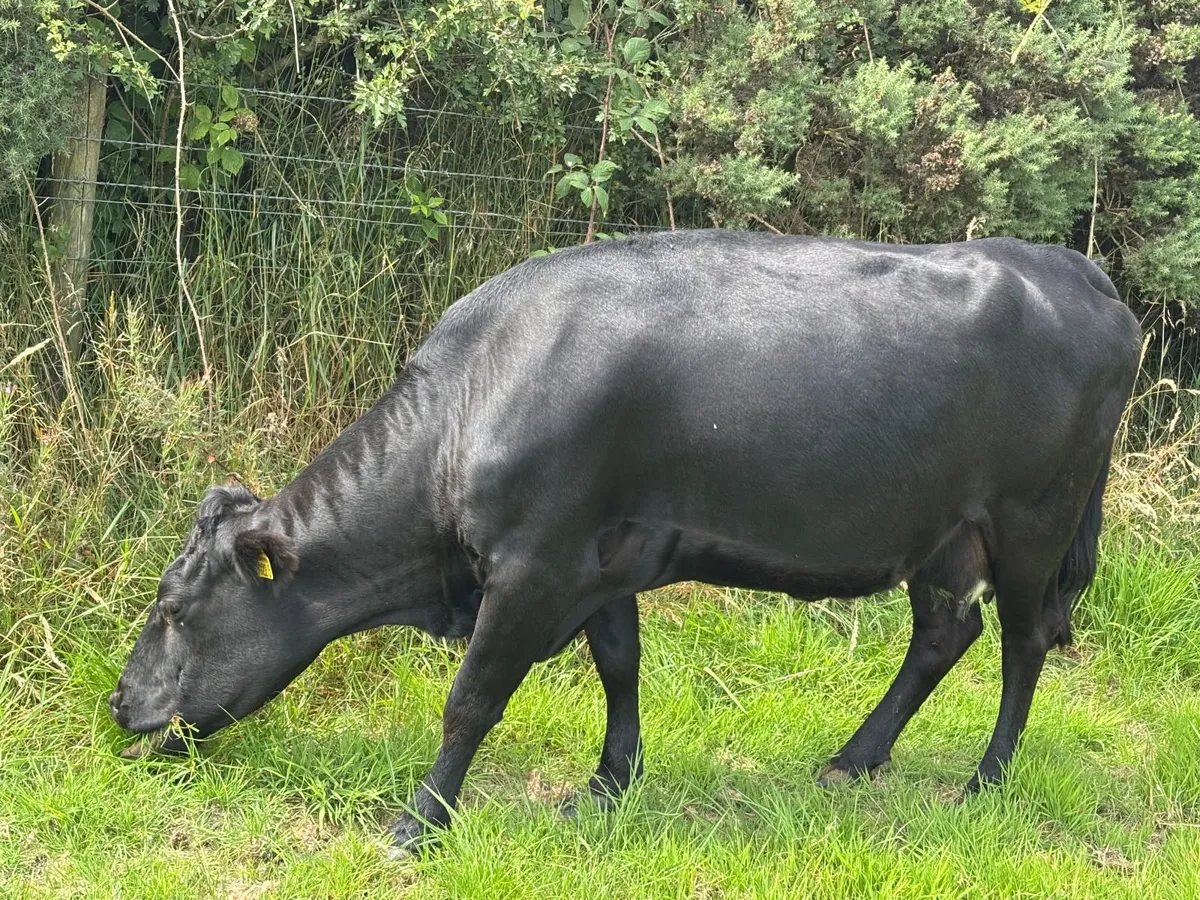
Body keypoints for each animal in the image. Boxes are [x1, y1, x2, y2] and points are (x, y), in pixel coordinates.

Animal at [110, 229, 1141, 854]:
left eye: (174, 609)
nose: (119, 704)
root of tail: (1080, 272)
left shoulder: (531, 567)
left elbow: (470, 702)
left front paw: (418, 824)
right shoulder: (599, 563)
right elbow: (619, 664)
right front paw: (610, 784)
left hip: (1033, 520)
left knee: (1023, 644)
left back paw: (986, 780)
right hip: (944, 533)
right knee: (944, 632)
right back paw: (855, 757)